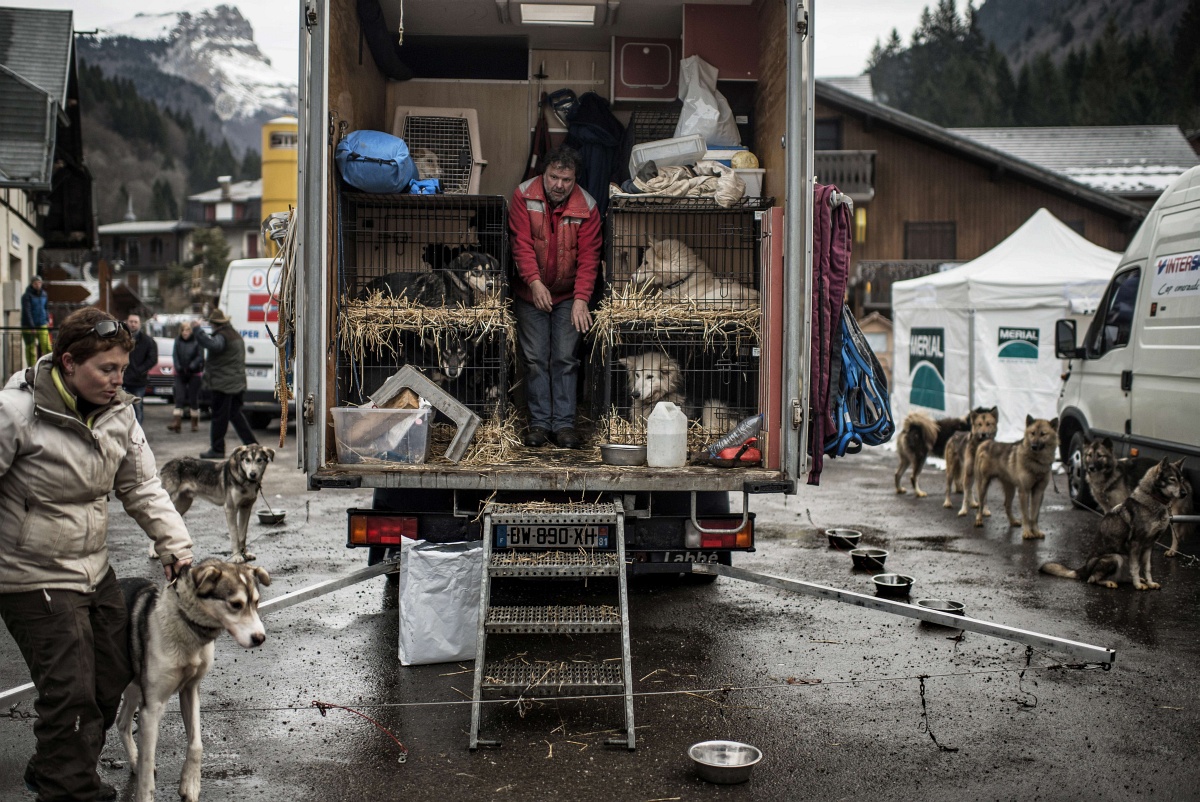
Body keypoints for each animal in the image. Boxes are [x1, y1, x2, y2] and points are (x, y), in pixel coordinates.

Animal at [1041, 456, 1190, 588]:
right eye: (1172, 479)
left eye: (1182, 480)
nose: (1185, 493)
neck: (1153, 500)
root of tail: (1084, 568)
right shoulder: (1135, 544)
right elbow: (1136, 567)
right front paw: (1138, 585)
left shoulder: (1149, 546)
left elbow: (1147, 568)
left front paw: (1149, 583)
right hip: (1115, 557)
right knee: (1092, 579)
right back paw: (1109, 582)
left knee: (1120, 577)